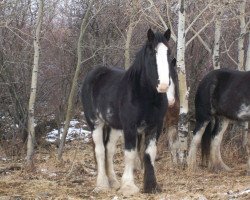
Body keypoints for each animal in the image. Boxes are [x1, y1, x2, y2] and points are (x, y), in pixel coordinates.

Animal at [81, 28, 175, 195]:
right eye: (152, 52)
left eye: (168, 52)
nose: (163, 85)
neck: (143, 95)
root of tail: (94, 74)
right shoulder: (130, 127)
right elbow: (130, 154)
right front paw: (129, 187)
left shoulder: (155, 126)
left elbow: (150, 153)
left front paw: (151, 186)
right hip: (95, 123)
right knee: (100, 150)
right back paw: (102, 184)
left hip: (114, 127)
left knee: (109, 150)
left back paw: (113, 182)